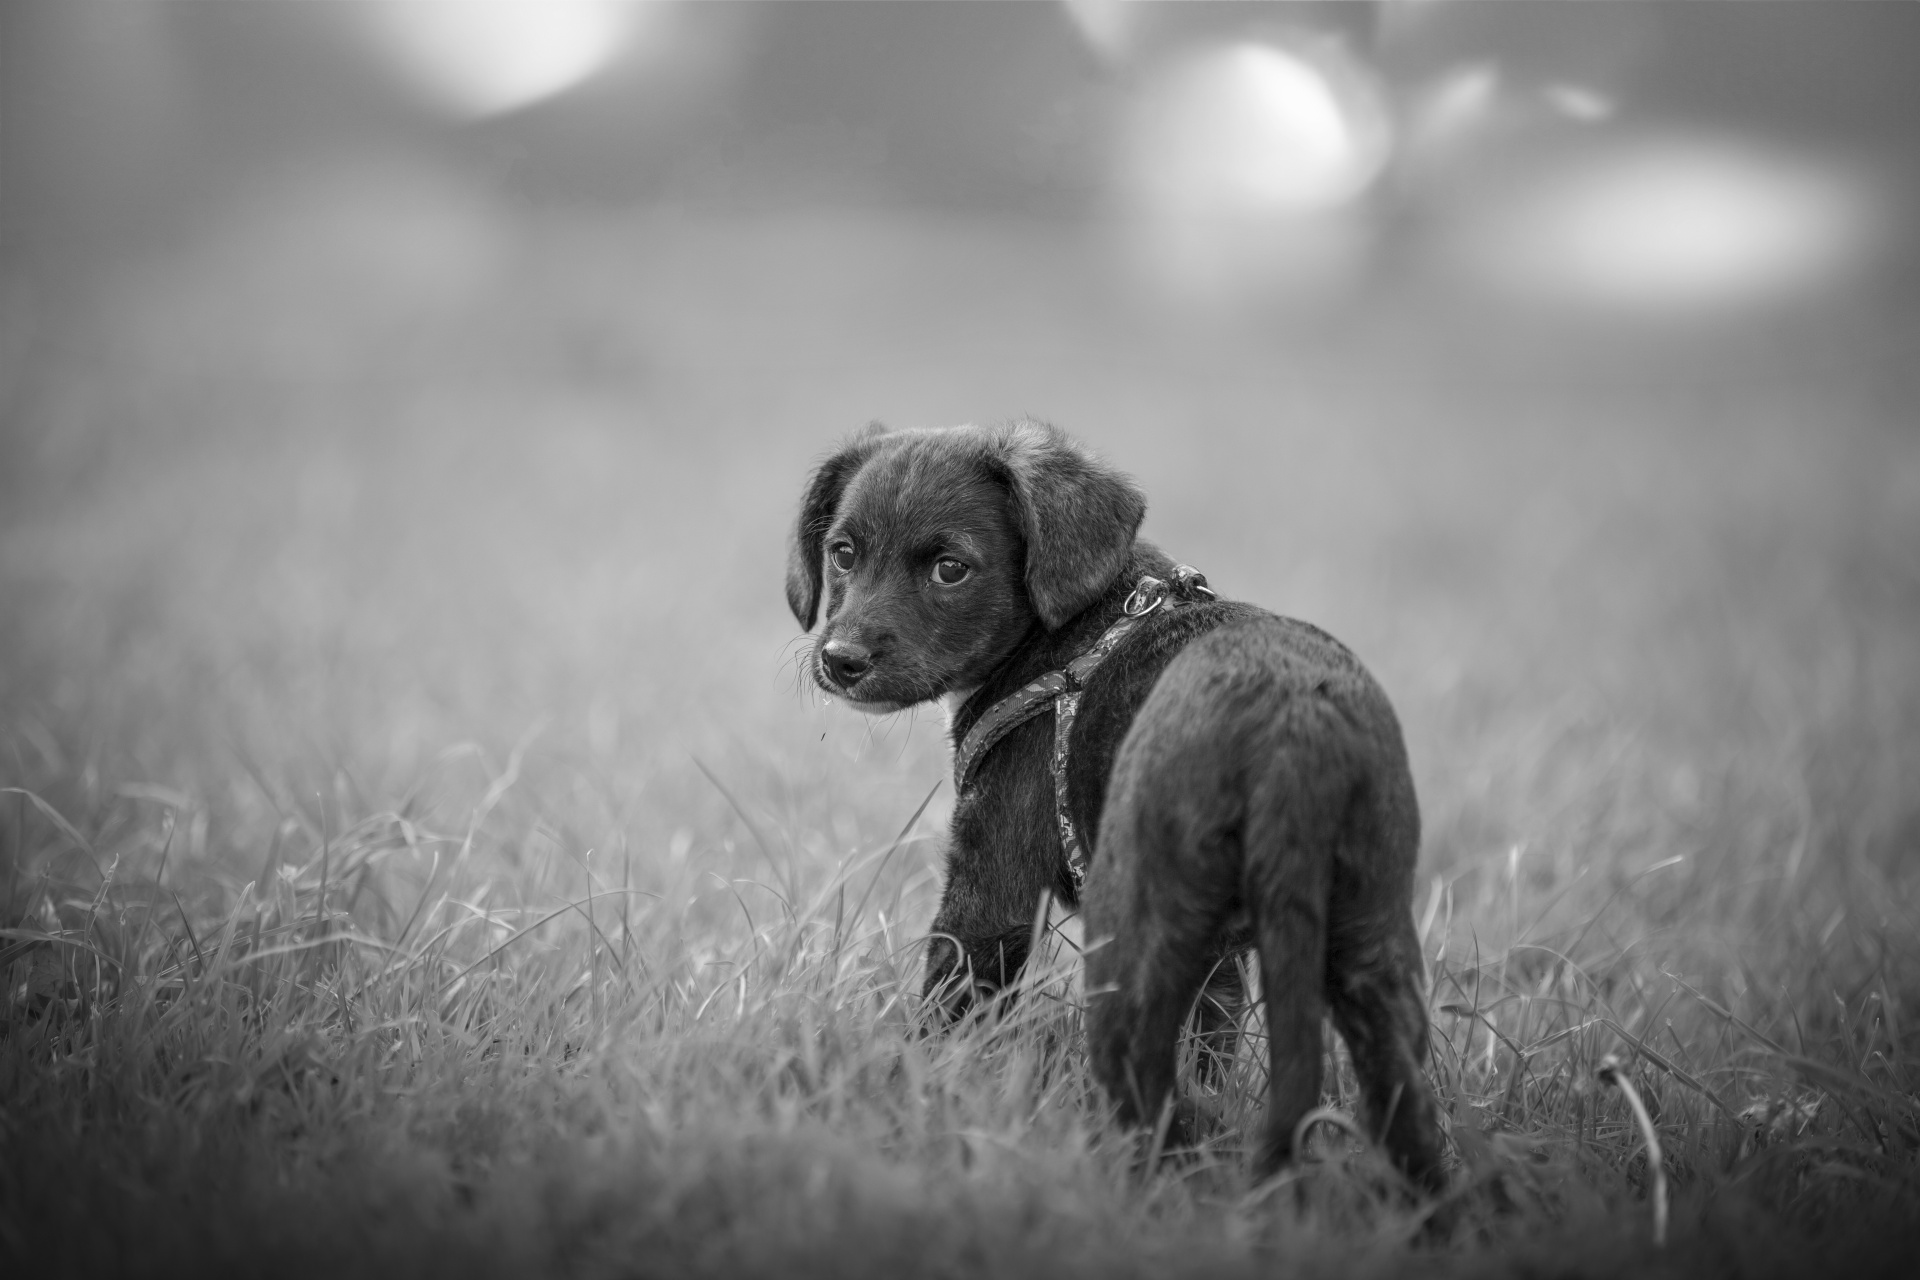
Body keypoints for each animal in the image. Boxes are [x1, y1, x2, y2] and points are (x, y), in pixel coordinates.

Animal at [783, 422, 1443, 1189]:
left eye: (950, 569)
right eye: (843, 554)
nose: (840, 660)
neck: (1066, 628)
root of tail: (1290, 728)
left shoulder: (988, 895)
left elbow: (947, 1015)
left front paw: (915, 1101)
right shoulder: (1217, 958)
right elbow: (1212, 1048)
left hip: (1128, 932)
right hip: (1373, 941)